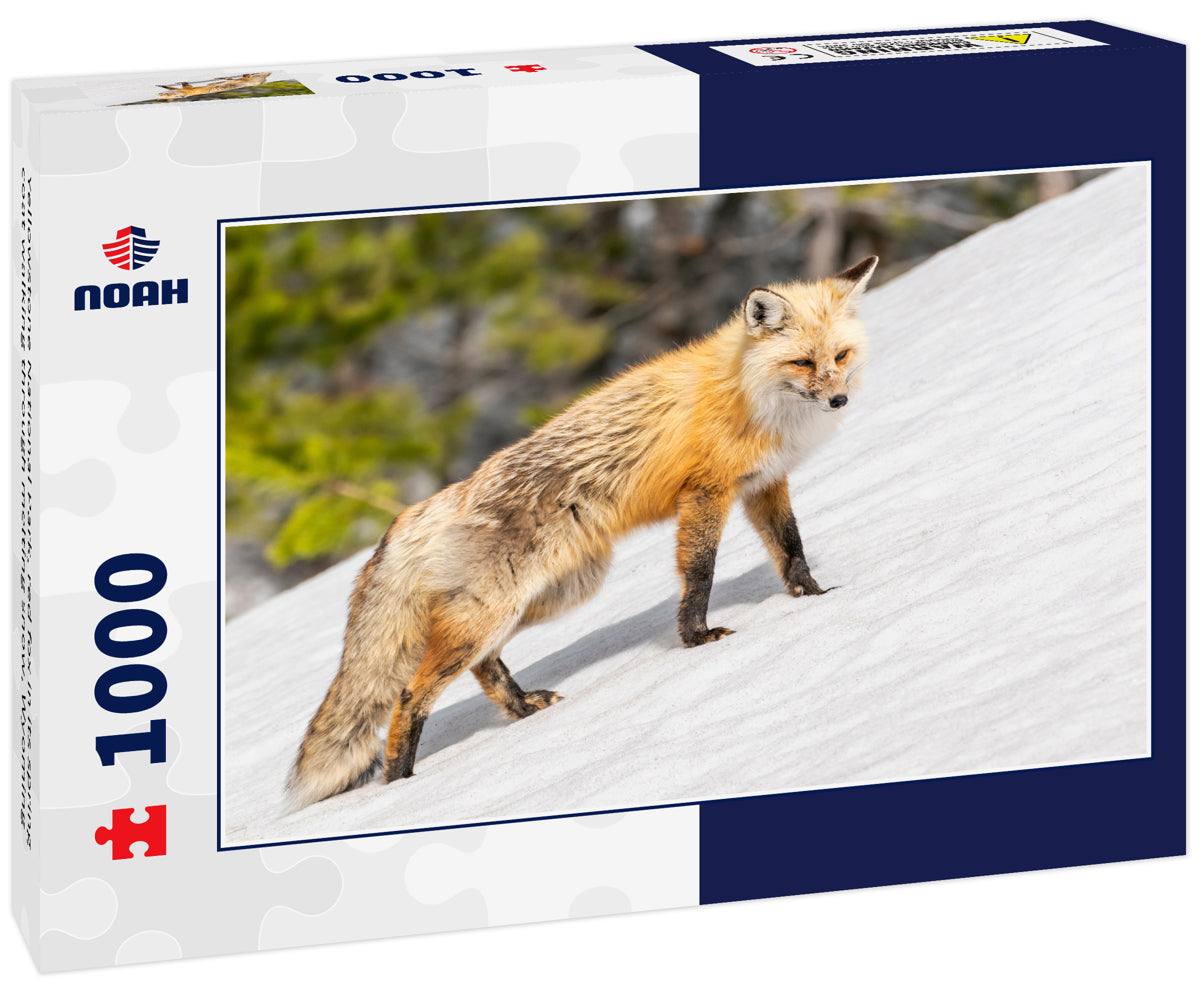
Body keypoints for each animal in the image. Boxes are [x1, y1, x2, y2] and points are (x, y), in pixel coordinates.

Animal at [285, 255, 878, 811]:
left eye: (840, 357)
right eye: (802, 362)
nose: (839, 401)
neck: (750, 393)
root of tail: (427, 506)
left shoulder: (763, 483)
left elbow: (790, 548)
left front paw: (812, 596)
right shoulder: (705, 493)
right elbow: (700, 572)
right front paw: (697, 637)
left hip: (550, 595)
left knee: (482, 665)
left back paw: (522, 708)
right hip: (500, 608)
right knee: (410, 695)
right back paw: (399, 782)